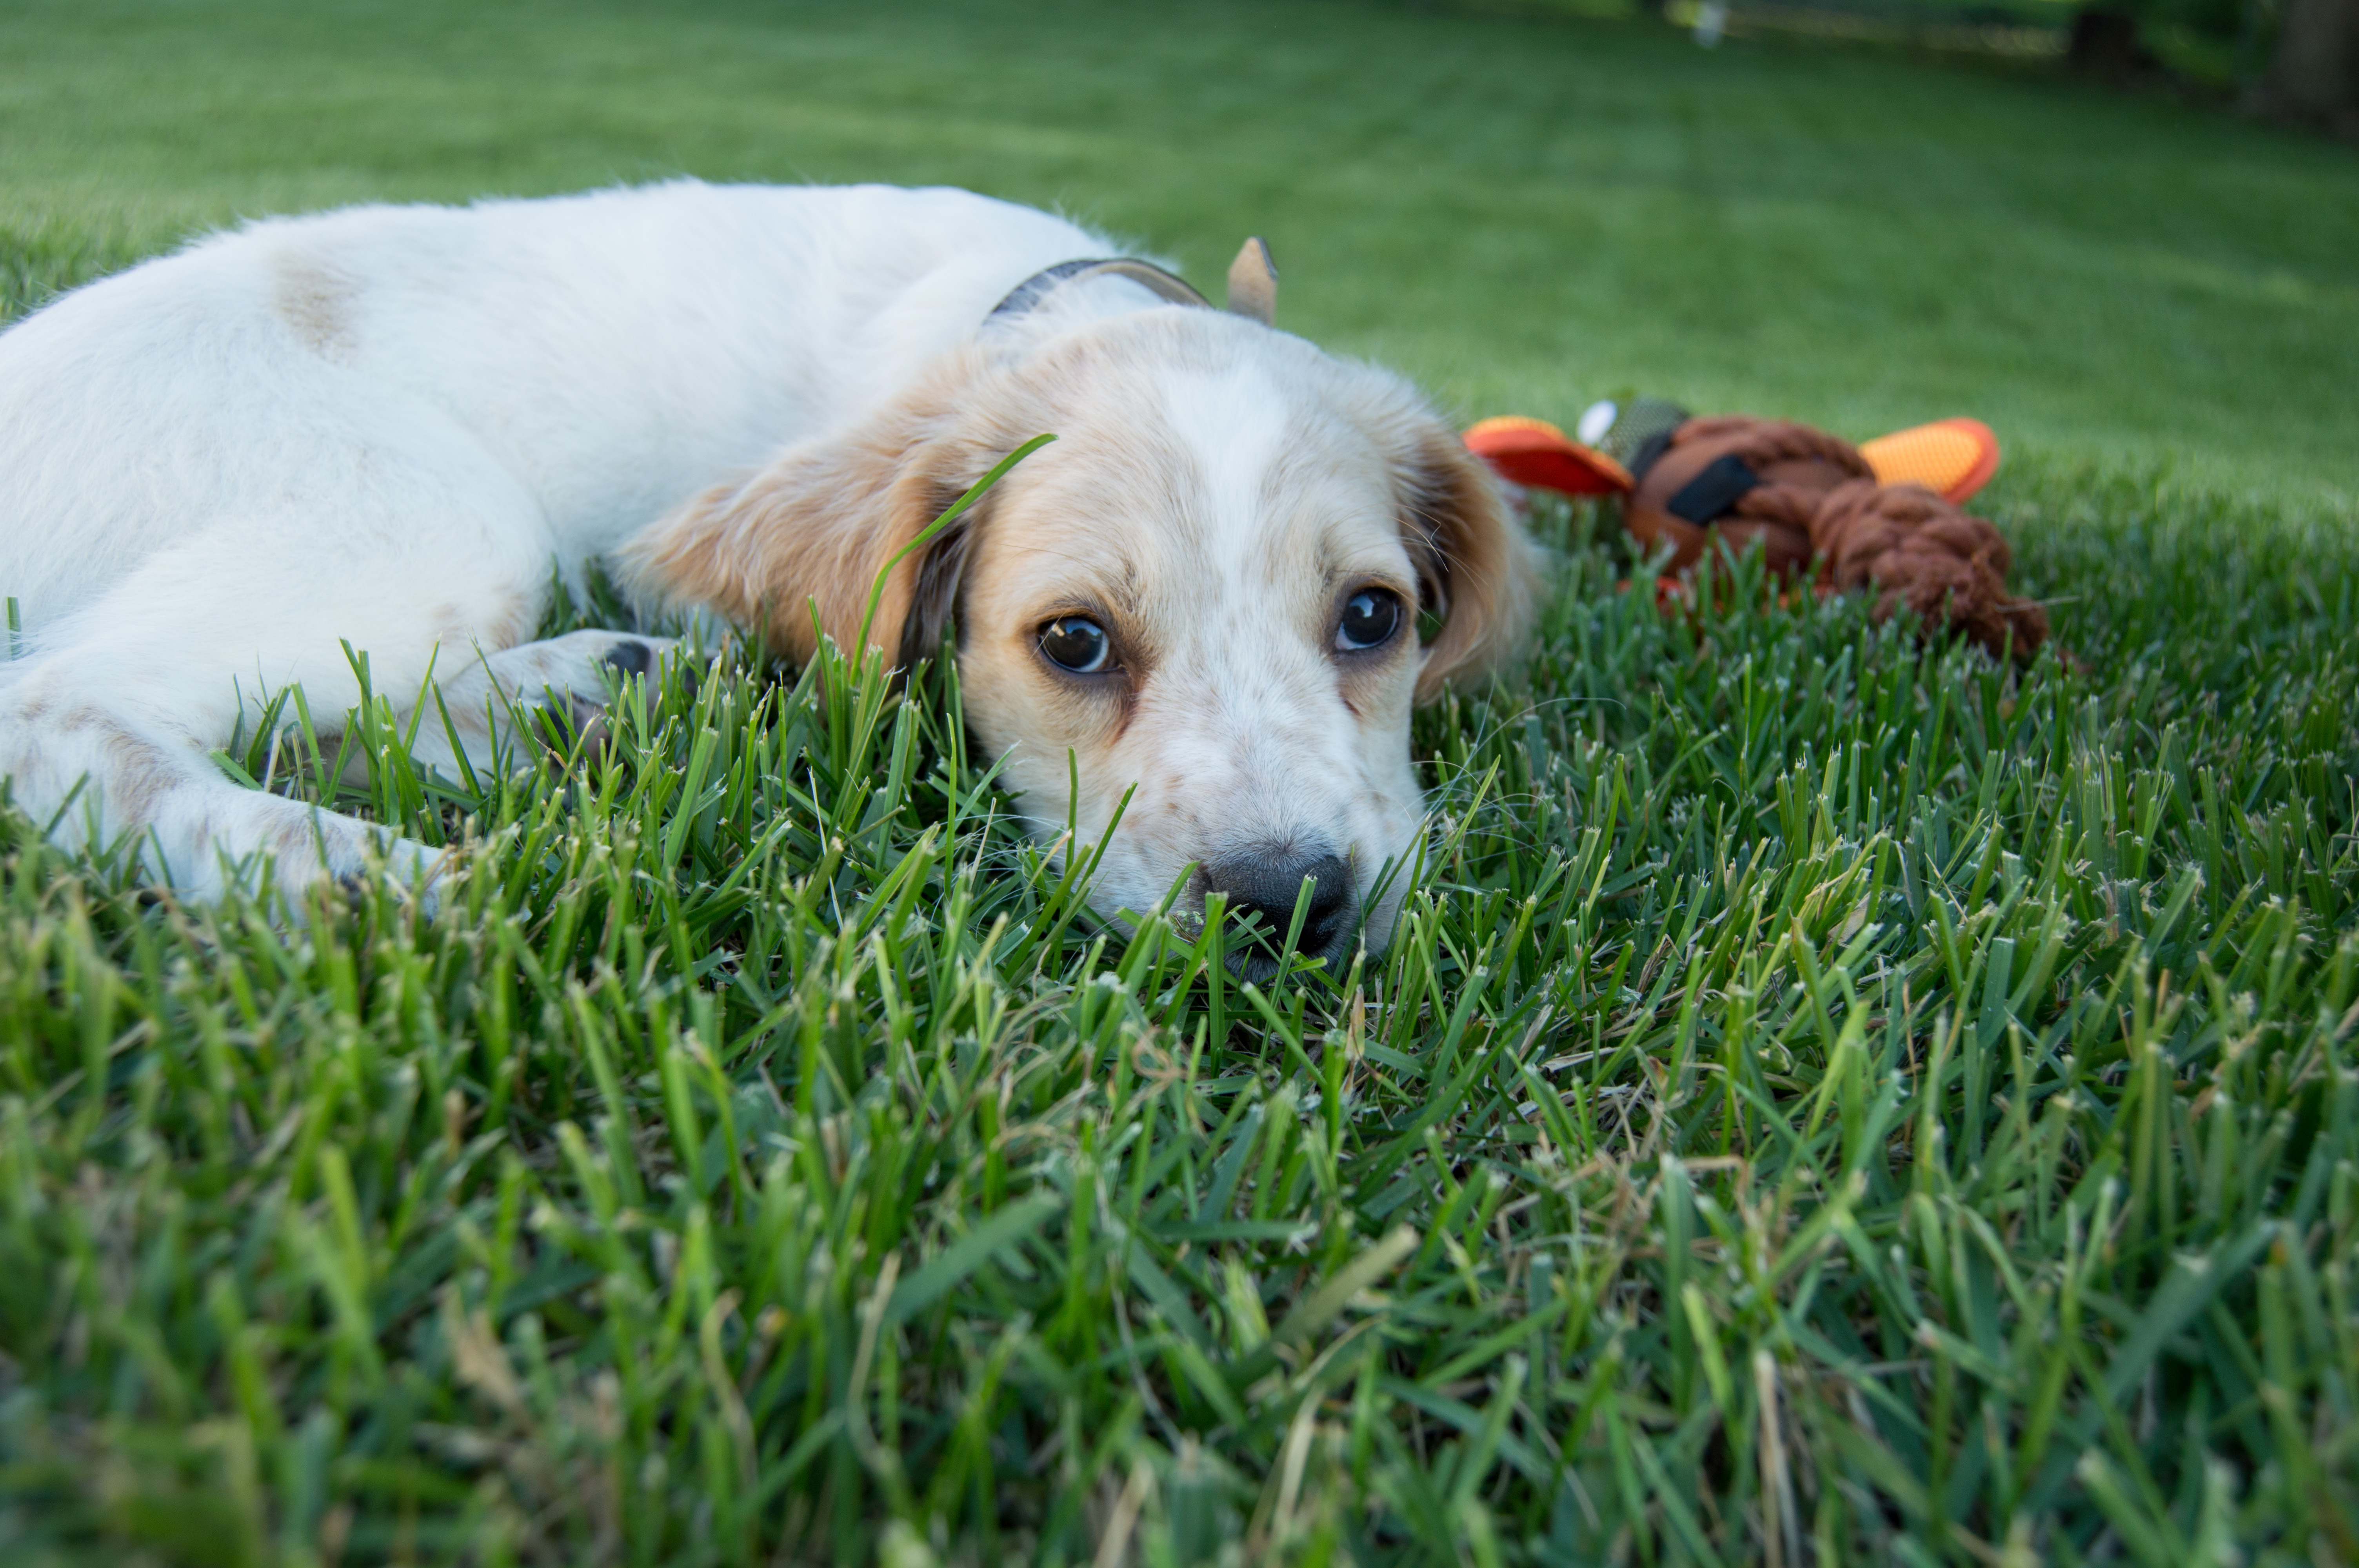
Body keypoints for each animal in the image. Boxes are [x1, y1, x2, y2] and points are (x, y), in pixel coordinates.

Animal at [0, 180, 1528, 967]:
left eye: (1372, 617)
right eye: (1074, 642)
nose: (1292, 905)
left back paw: (587, 693)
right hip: (440, 511)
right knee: (60, 705)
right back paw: (349, 869)